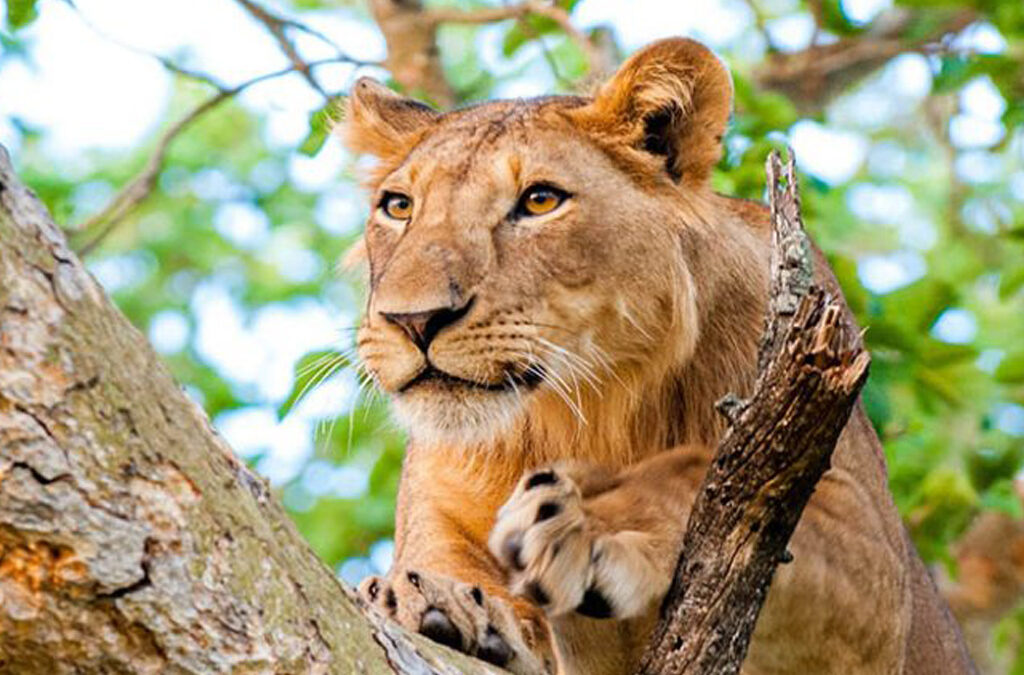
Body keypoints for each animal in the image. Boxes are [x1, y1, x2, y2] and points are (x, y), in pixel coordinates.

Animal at [344, 38, 975, 675]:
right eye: (398, 206)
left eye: (540, 200)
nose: (413, 320)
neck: (583, 410)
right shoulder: (440, 512)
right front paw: (439, 603)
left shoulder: (875, 565)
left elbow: (702, 477)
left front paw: (596, 524)